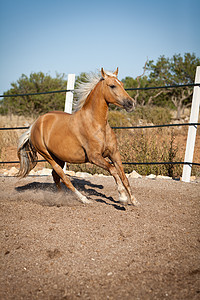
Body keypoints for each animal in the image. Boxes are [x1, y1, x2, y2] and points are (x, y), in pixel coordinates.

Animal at [17, 68, 139, 205]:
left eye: (122, 84)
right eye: (112, 86)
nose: (131, 103)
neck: (96, 123)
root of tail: (34, 125)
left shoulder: (114, 153)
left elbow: (123, 176)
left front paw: (134, 201)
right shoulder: (94, 157)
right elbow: (113, 170)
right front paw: (122, 197)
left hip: (59, 157)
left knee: (55, 176)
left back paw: (60, 198)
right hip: (48, 156)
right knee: (64, 177)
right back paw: (83, 199)